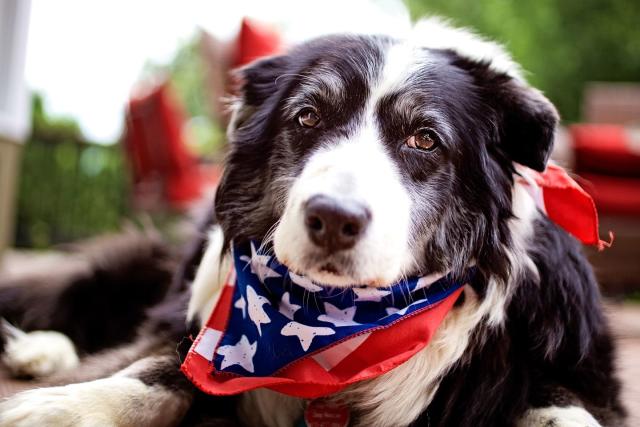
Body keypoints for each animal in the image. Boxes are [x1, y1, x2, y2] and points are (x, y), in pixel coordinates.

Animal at [0, 19, 624, 427]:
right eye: (307, 116)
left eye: (424, 139)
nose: (333, 218)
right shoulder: (197, 328)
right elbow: (158, 370)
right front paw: (64, 406)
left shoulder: (580, 375)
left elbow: (564, 410)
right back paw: (36, 349)